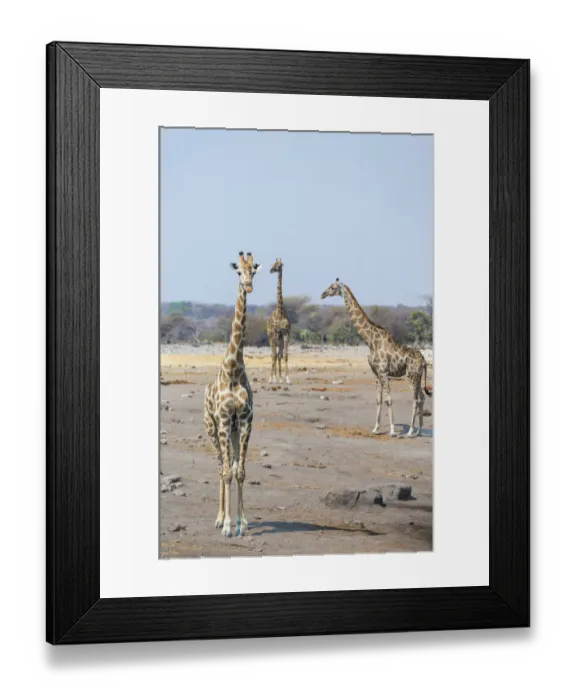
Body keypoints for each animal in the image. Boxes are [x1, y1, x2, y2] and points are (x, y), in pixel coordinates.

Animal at [321, 279, 432, 437]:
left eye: (333, 287)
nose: (322, 294)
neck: (371, 341)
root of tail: (423, 361)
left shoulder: (384, 372)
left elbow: (388, 399)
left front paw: (392, 430)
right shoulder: (376, 373)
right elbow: (378, 399)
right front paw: (376, 429)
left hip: (412, 377)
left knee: (416, 399)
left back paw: (410, 431)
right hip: (417, 377)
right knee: (422, 398)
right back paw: (419, 430)